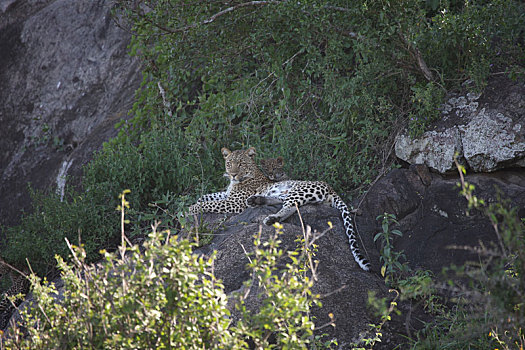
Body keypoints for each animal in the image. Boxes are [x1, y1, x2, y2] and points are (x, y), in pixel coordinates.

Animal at [188, 147, 368, 270]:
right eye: (229, 163)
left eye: (241, 164)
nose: (232, 174)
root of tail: (330, 188)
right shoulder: (227, 195)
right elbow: (206, 197)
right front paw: (195, 202)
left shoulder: (235, 203)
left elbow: (208, 204)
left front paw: (190, 209)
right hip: (287, 193)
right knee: (282, 202)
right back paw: (256, 200)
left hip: (299, 191)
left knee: (290, 207)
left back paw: (271, 218)